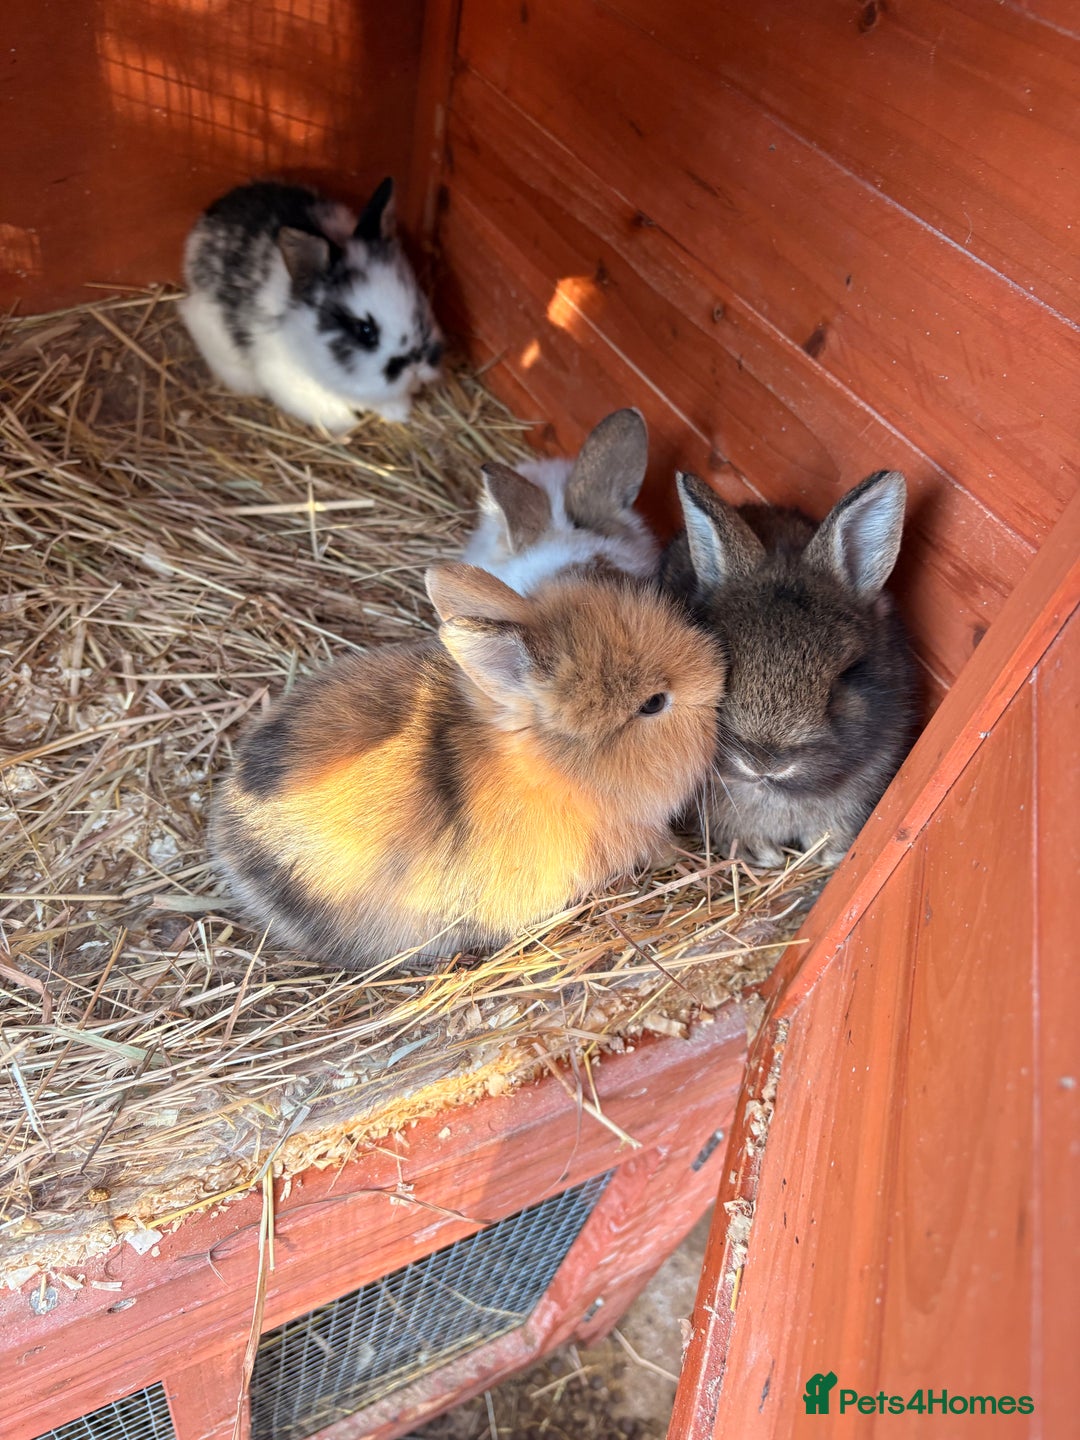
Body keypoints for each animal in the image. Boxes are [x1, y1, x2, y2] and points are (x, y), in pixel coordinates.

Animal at [179, 178, 442, 434]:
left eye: (419, 307)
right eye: (365, 331)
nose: (416, 368)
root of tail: (203, 225)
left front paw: (398, 412)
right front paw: (348, 425)